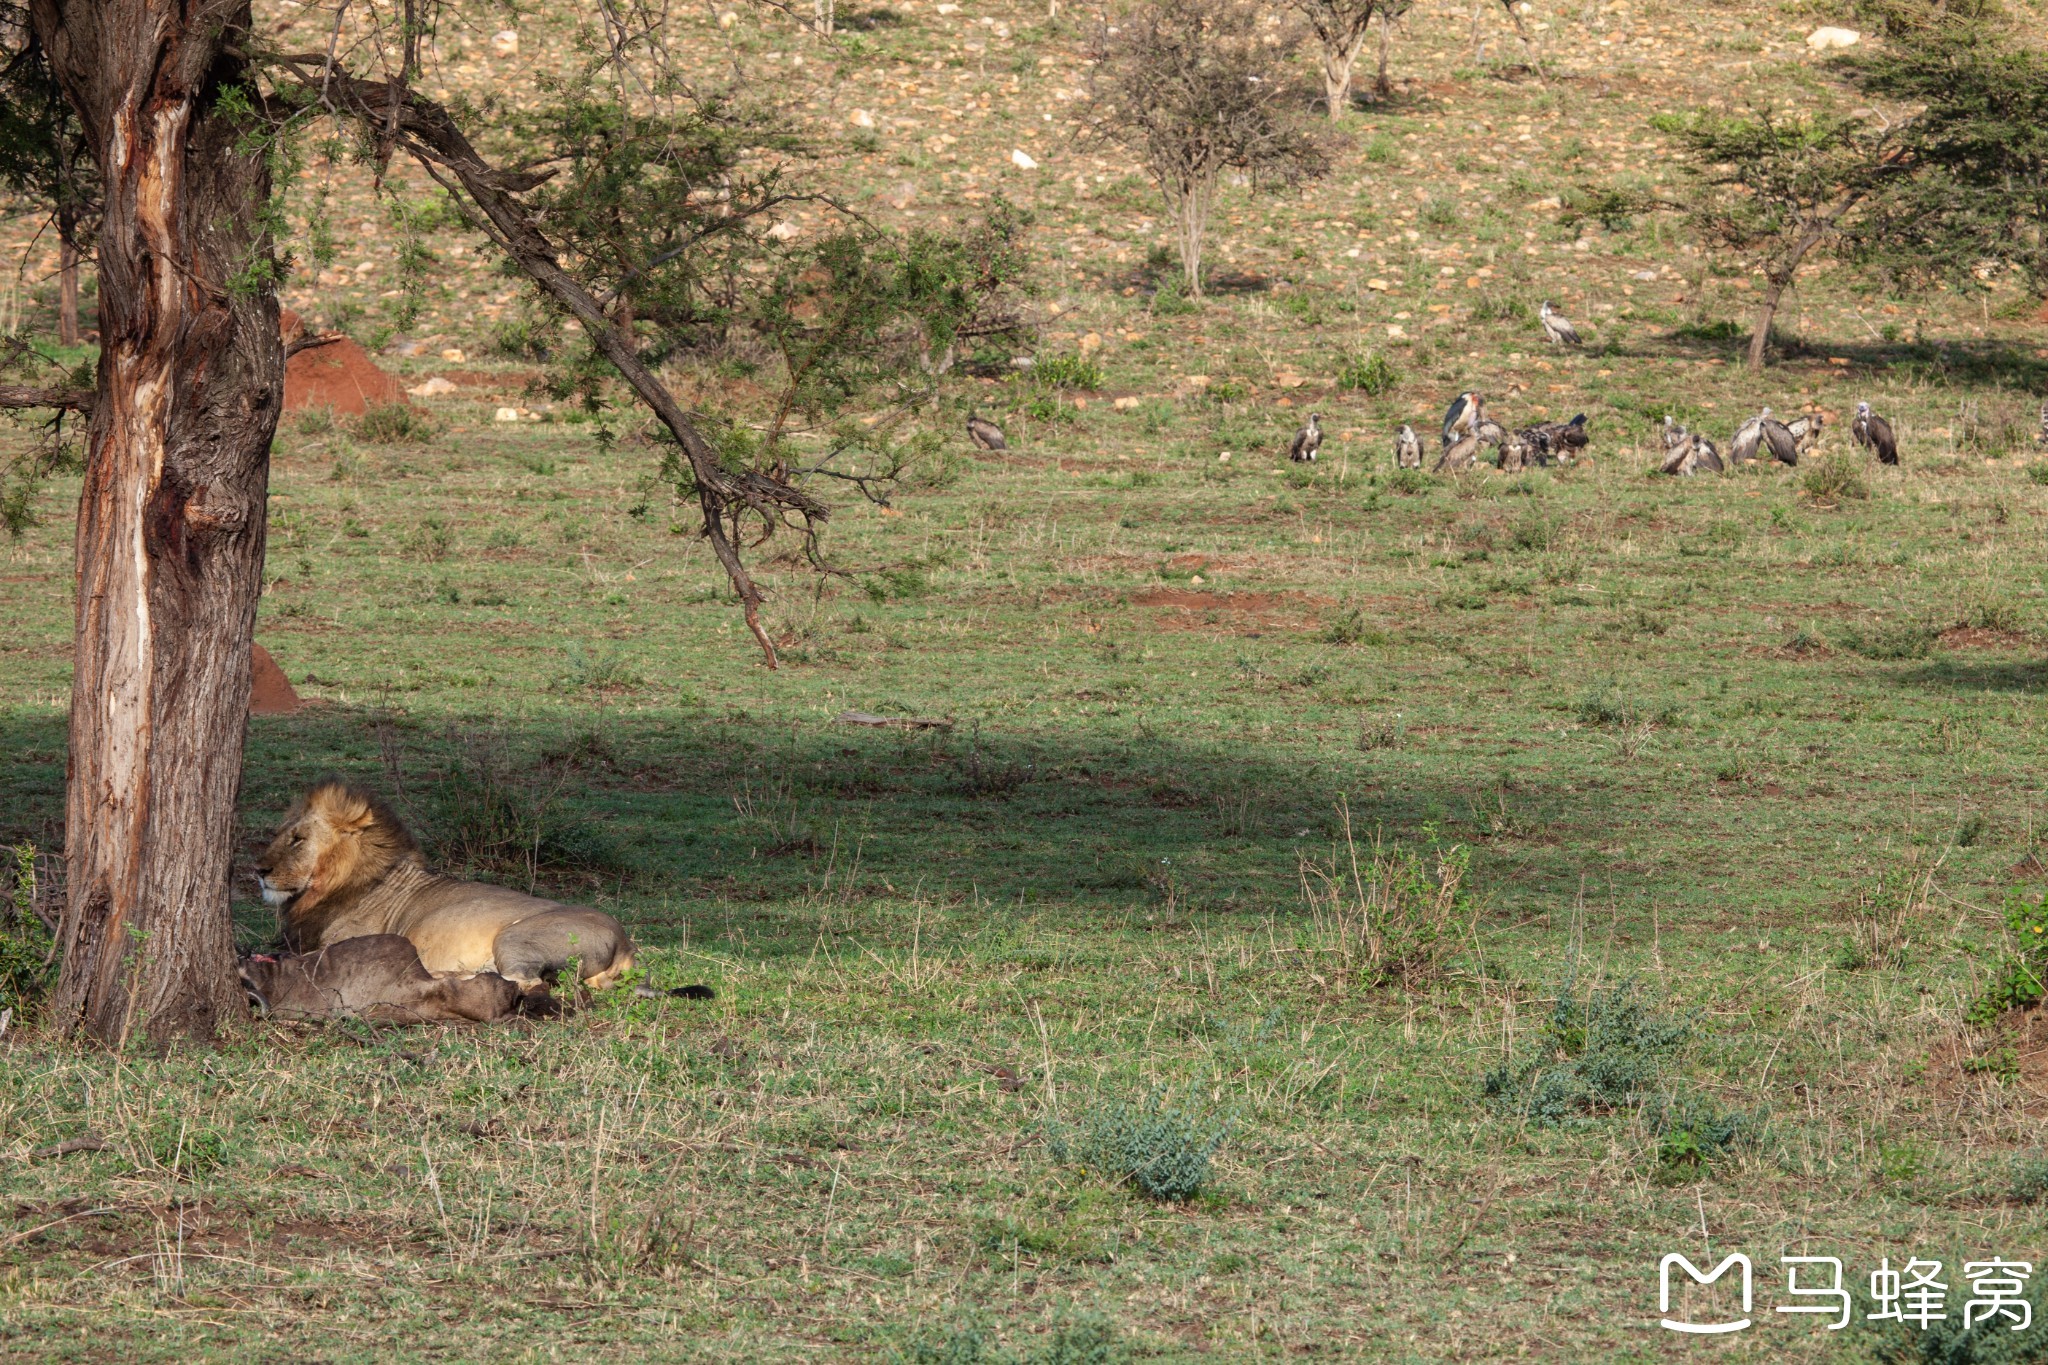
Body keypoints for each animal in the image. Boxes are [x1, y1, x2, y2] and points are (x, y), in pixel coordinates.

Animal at [260, 777, 634, 994]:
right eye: (278, 834)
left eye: (298, 839)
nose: (259, 870)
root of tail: (624, 942)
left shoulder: (346, 947)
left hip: (514, 938)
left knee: (525, 982)